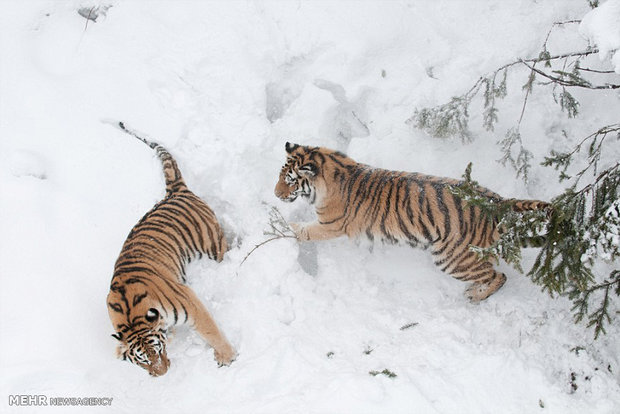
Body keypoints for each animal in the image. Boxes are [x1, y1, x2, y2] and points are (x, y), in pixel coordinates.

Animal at [106, 122, 235, 376]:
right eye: (142, 360)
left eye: (157, 349)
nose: (161, 374)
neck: (131, 317)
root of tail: (175, 191)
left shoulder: (190, 303)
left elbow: (210, 331)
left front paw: (227, 357)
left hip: (213, 246)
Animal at [274, 142, 548, 300]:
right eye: (280, 175)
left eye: (290, 181)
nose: (276, 194)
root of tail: (498, 202)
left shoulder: (330, 224)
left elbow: (305, 231)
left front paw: (283, 228)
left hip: (453, 258)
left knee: (497, 276)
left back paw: (476, 295)